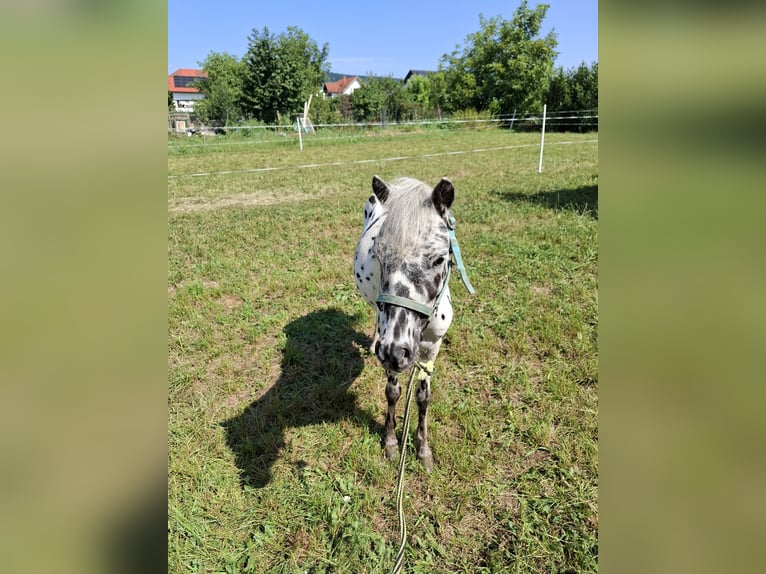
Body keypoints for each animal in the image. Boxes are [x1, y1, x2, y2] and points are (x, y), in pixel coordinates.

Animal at [354, 176, 456, 472]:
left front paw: (422, 450)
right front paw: (390, 442)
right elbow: (392, 392)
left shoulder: (431, 347)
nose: (394, 352)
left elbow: (423, 397)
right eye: (378, 255)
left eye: (439, 258)